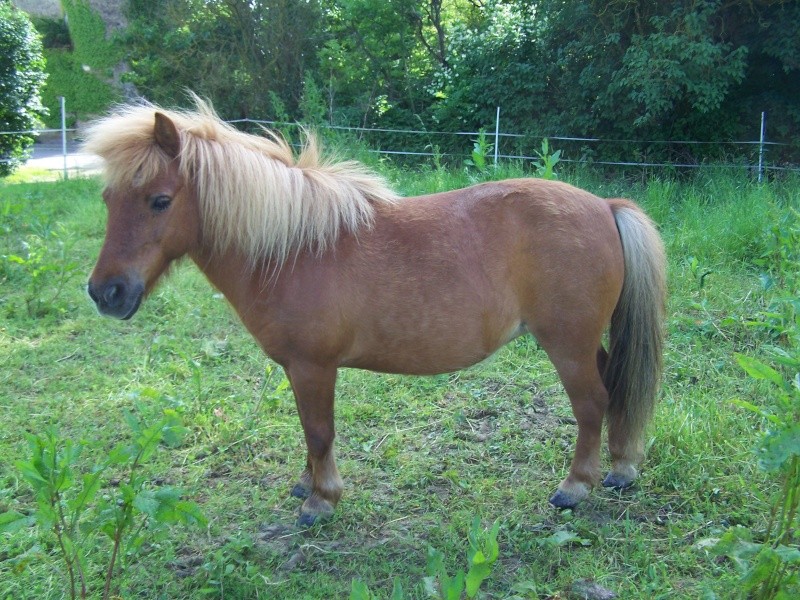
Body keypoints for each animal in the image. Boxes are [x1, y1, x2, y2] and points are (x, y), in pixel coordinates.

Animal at [84, 98, 664, 524]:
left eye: (160, 200)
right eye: (107, 199)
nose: (105, 293)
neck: (292, 248)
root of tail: (604, 206)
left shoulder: (313, 367)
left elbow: (319, 431)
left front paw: (321, 500)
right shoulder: (299, 371)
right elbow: (308, 431)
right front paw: (306, 484)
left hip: (566, 344)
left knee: (592, 402)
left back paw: (576, 487)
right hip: (585, 342)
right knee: (615, 386)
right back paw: (621, 467)